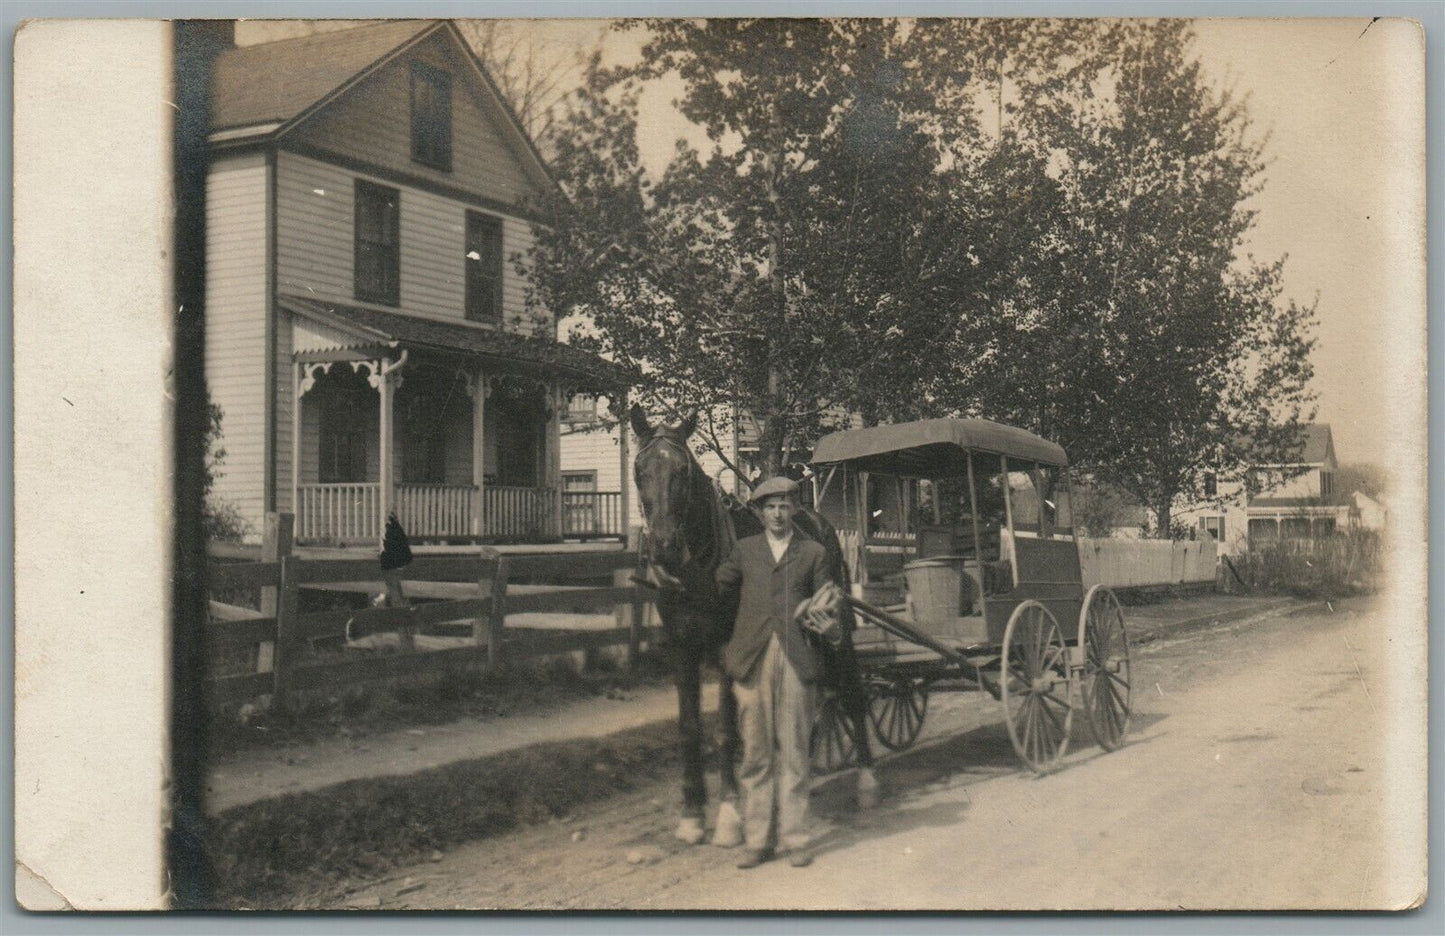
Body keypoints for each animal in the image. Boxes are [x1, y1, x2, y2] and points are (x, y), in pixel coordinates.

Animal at [627, 404, 872, 843]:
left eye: (683, 470)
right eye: (640, 469)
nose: (665, 545)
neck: (697, 573)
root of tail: (817, 519)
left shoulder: (730, 648)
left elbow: (727, 729)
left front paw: (729, 815)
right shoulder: (681, 647)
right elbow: (689, 728)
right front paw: (692, 815)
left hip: (836, 625)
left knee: (852, 691)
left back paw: (865, 780)